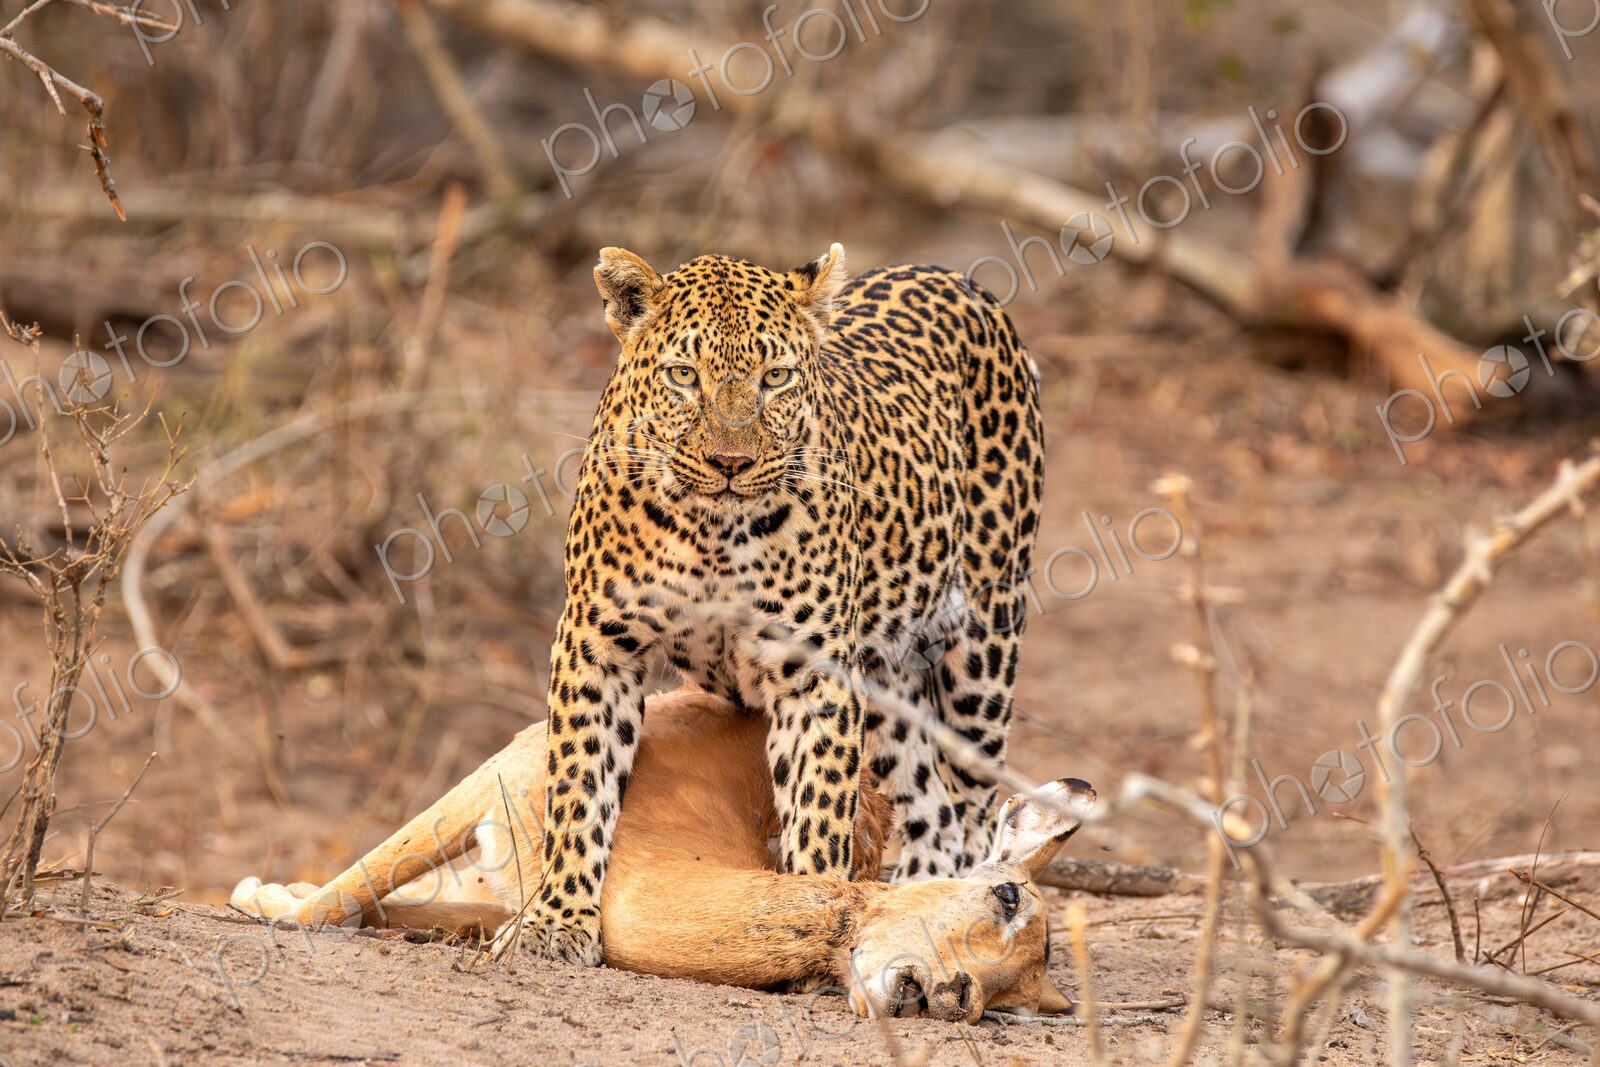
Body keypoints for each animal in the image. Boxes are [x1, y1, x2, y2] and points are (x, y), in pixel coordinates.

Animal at [232, 689, 1093, 1021]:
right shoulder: (493, 778)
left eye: (992, 1000)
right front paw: (271, 900)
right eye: (1007, 899)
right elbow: (353, 886)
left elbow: (391, 900)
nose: (940, 995)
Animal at [510, 243, 1045, 965]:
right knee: (929, 804)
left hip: (983, 650)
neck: (709, 529)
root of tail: (953, 276)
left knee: (972, 809)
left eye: (776, 377)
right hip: (886, 683)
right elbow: (578, 788)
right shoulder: (596, 647)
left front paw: (816, 912)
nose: (730, 461)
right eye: (684, 375)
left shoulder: (816, 675)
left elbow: (819, 808)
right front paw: (558, 919)